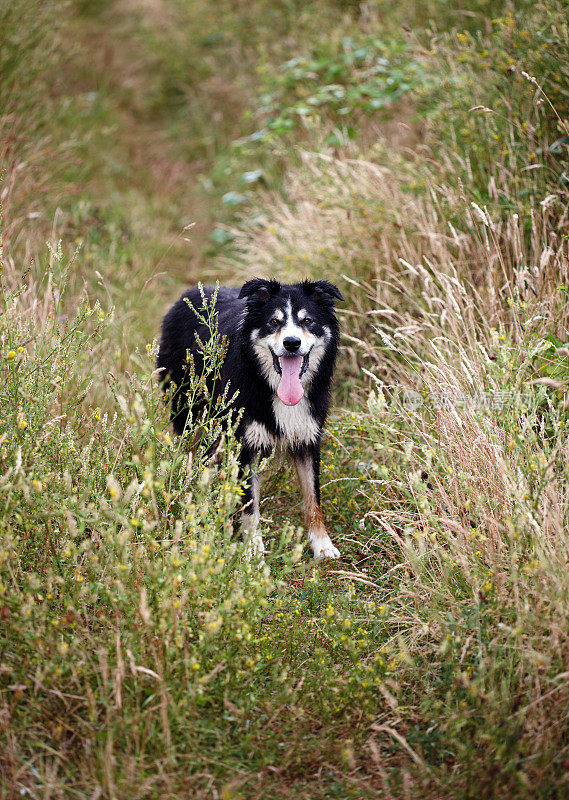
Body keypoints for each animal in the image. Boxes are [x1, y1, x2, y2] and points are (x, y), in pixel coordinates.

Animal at [155, 278, 342, 560]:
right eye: (274, 322)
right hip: (190, 414)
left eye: (307, 321)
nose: (291, 343)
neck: (268, 383)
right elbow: (250, 502)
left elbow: (313, 498)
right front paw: (253, 549)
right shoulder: (246, 445)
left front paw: (321, 544)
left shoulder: (307, 439)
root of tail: (186, 295)